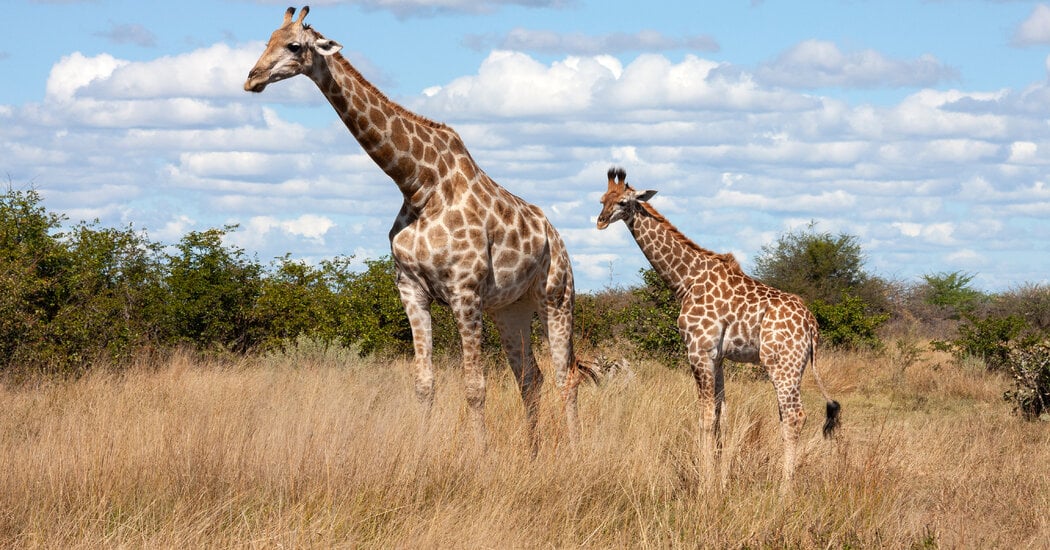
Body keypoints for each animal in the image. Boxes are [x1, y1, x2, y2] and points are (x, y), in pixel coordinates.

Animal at [243, 6, 593, 452]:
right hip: (510, 309)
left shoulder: (464, 291)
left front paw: (480, 455)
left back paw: (574, 450)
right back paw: (533, 453)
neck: (418, 185)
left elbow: (475, 387)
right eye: (267, 39)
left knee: (568, 376)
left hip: (557, 296)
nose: (252, 78)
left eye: (293, 45)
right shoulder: (411, 289)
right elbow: (424, 383)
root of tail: (557, 237)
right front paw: (422, 451)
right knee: (531, 378)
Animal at [596, 167, 840, 485]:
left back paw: (784, 486)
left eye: (624, 202)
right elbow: (721, 413)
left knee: (795, 415)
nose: (600, 221)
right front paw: (721, 476)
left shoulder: (698, 351)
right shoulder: (718, 357)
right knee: (788, 415)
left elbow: (705, 417)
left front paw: (705, 481)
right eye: (602, 199)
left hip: (781, 365)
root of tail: (811, 324)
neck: (686, 280)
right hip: (793, 367)